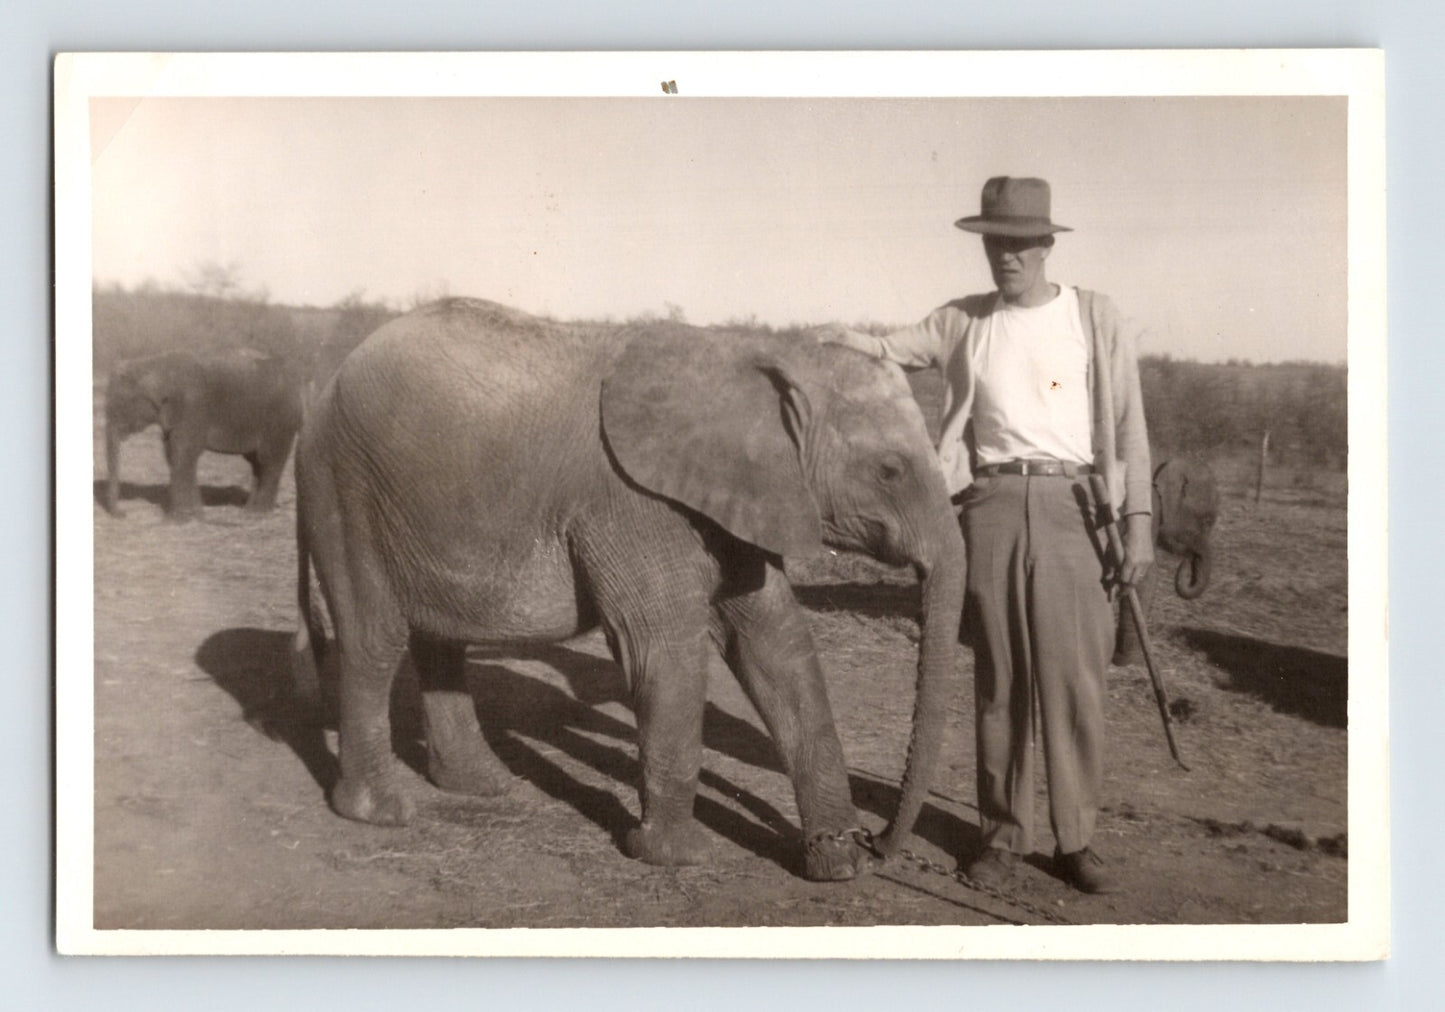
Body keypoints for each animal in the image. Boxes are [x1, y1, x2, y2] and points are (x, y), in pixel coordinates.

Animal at [103, 347, 305, 520]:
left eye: (121, 403)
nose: (123, 514)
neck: (155, 363)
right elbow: (173, 454)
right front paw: (196, 514)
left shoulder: (191, 408)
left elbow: (183, 453)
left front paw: (177, 519)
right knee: (257, 463)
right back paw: (249, 511)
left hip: (280, 423)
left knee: (270, 461)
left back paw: (257, 514)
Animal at [292, 298, 968, 882]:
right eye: (889, 471)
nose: (882, 846)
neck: (754, 360)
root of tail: (322, 393)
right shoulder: (632, 501)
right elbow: (663, 650)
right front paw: (677, 856)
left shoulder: (741, 497)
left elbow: (778, 647)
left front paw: (837, 864)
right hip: (346, 488)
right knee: (374, 640)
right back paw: (380, 811)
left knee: (439, 640)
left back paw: (485, 785)